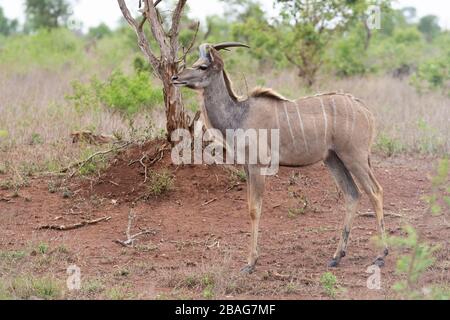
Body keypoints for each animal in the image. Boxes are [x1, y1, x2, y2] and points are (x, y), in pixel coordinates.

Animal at [171, 42, 388, 272]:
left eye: (202, 66)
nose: (175, 78)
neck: (239, 114)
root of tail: (366, 112)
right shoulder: (247, 167)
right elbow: (250, 206)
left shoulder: (257, 166)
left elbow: (254, 209)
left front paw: (251, 262)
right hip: (333, 159)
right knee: (352, 194)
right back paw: (337, 256)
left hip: (354, 156)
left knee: (375, 191)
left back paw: (381, 255)